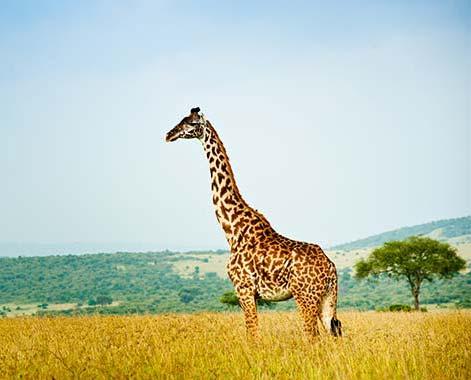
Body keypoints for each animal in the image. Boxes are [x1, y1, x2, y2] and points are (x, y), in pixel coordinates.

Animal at [167, 107, 342, 338]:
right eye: (182, 120)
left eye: (191, 123)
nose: (169, 134)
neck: (232, 229)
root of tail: (331, 267)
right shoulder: (251, 293)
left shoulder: (244, 289)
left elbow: (252, 334)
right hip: (327, 298)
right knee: (335, 331)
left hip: (306, 296)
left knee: (312, 336)